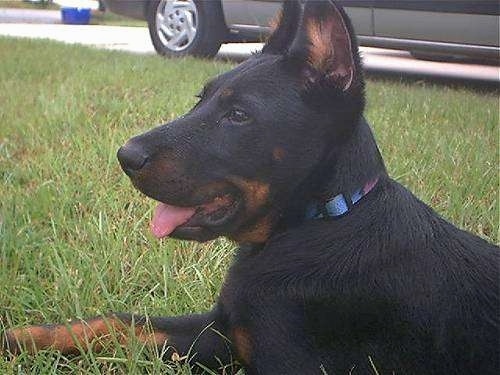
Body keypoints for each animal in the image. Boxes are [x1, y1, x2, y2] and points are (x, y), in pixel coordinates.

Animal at [2, 1, 496, 374]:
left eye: (238, 115)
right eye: (200, 100)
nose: (126, 156)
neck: (321, 220)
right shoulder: (223, 330)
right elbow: (120, 323)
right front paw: (18, 338)